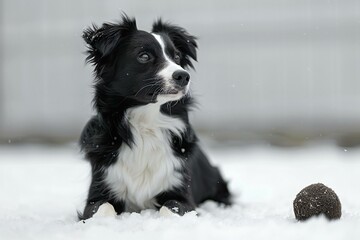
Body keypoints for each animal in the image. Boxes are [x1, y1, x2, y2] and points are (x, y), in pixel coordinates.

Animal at [78, 14, 231, 218]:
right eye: (144, 56)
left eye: (176, 56)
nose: (184, 76)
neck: (146, 122)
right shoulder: (99, 190)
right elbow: (102, 210)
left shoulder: (183, 195)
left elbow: (170, 208)